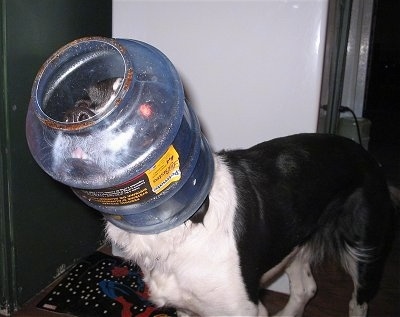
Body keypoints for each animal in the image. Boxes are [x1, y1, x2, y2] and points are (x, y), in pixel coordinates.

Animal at [104, 132, 400, 314]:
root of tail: (366, 155)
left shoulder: (244, 309)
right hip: (292, 241)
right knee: (306, 288)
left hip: (365, 249)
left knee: (358, 302)